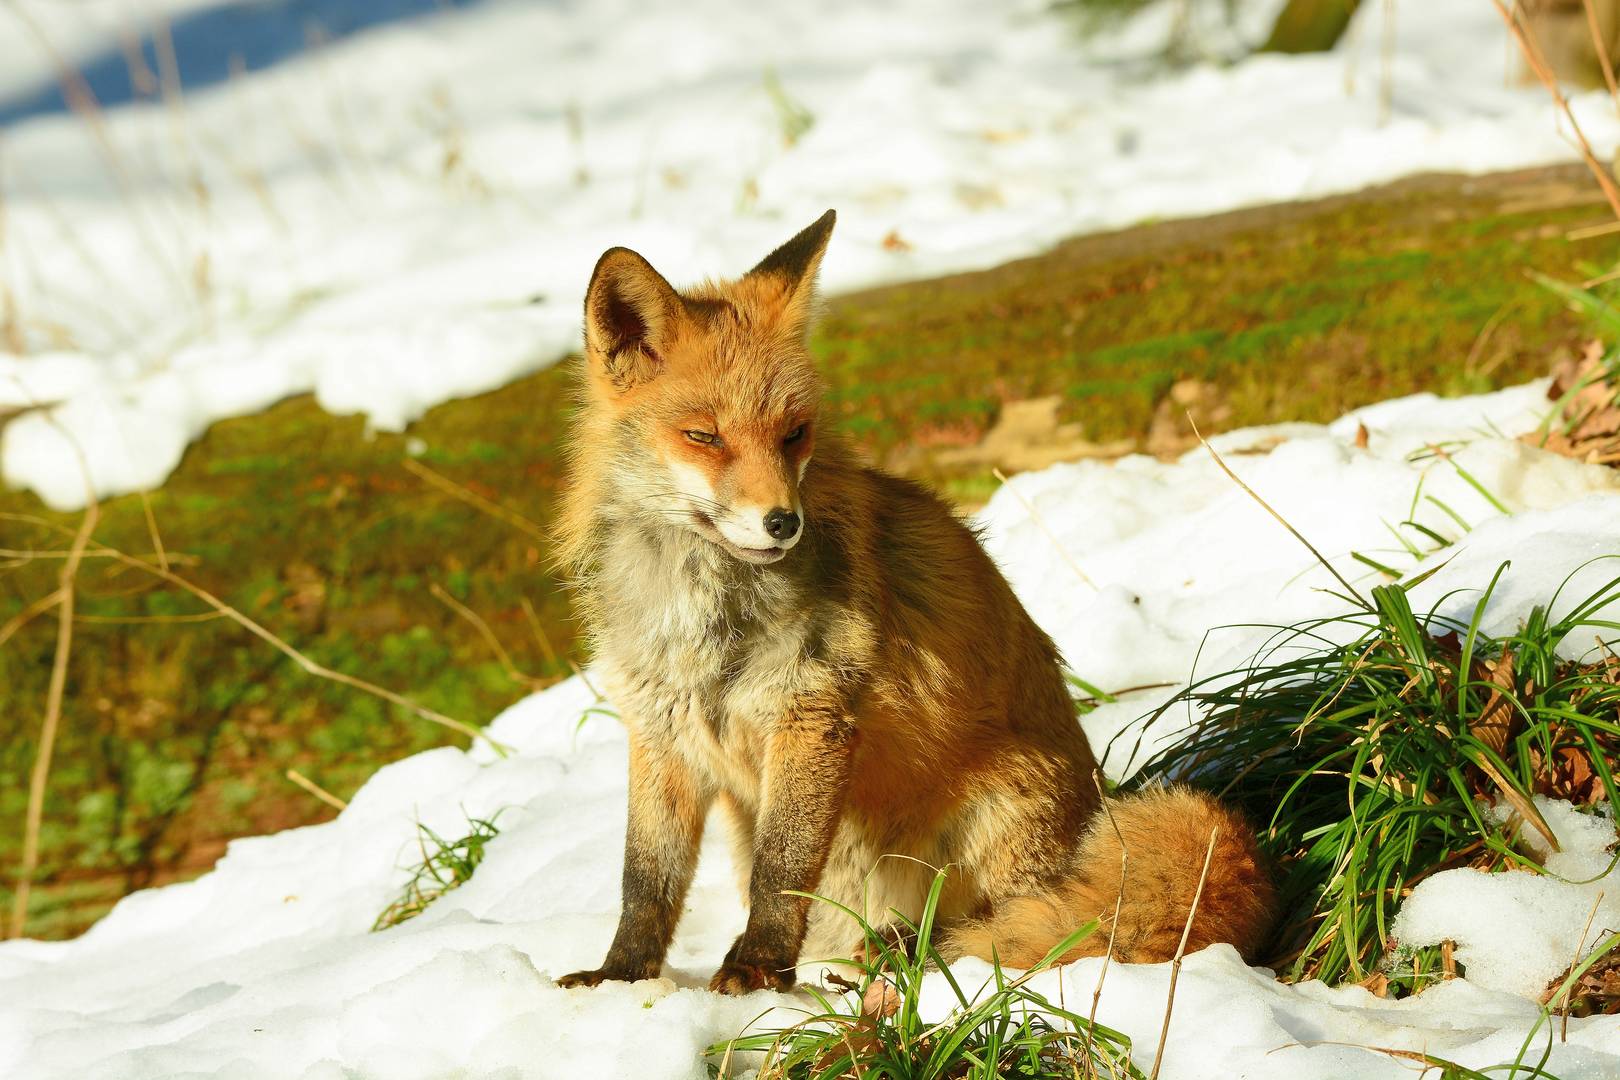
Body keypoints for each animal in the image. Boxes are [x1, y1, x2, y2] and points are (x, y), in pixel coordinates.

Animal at [557, 210, 1276, 997]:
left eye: (793, 434)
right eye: (703, 436)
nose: (783, 522)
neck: (703, 617)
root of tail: (1099, 799)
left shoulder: (812, 712)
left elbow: (782, 870)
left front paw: (758, 967)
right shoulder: (661, 729)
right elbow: (645, 881)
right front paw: (620, 978)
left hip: (996, 819)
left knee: (1006, 922)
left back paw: (911, 950)